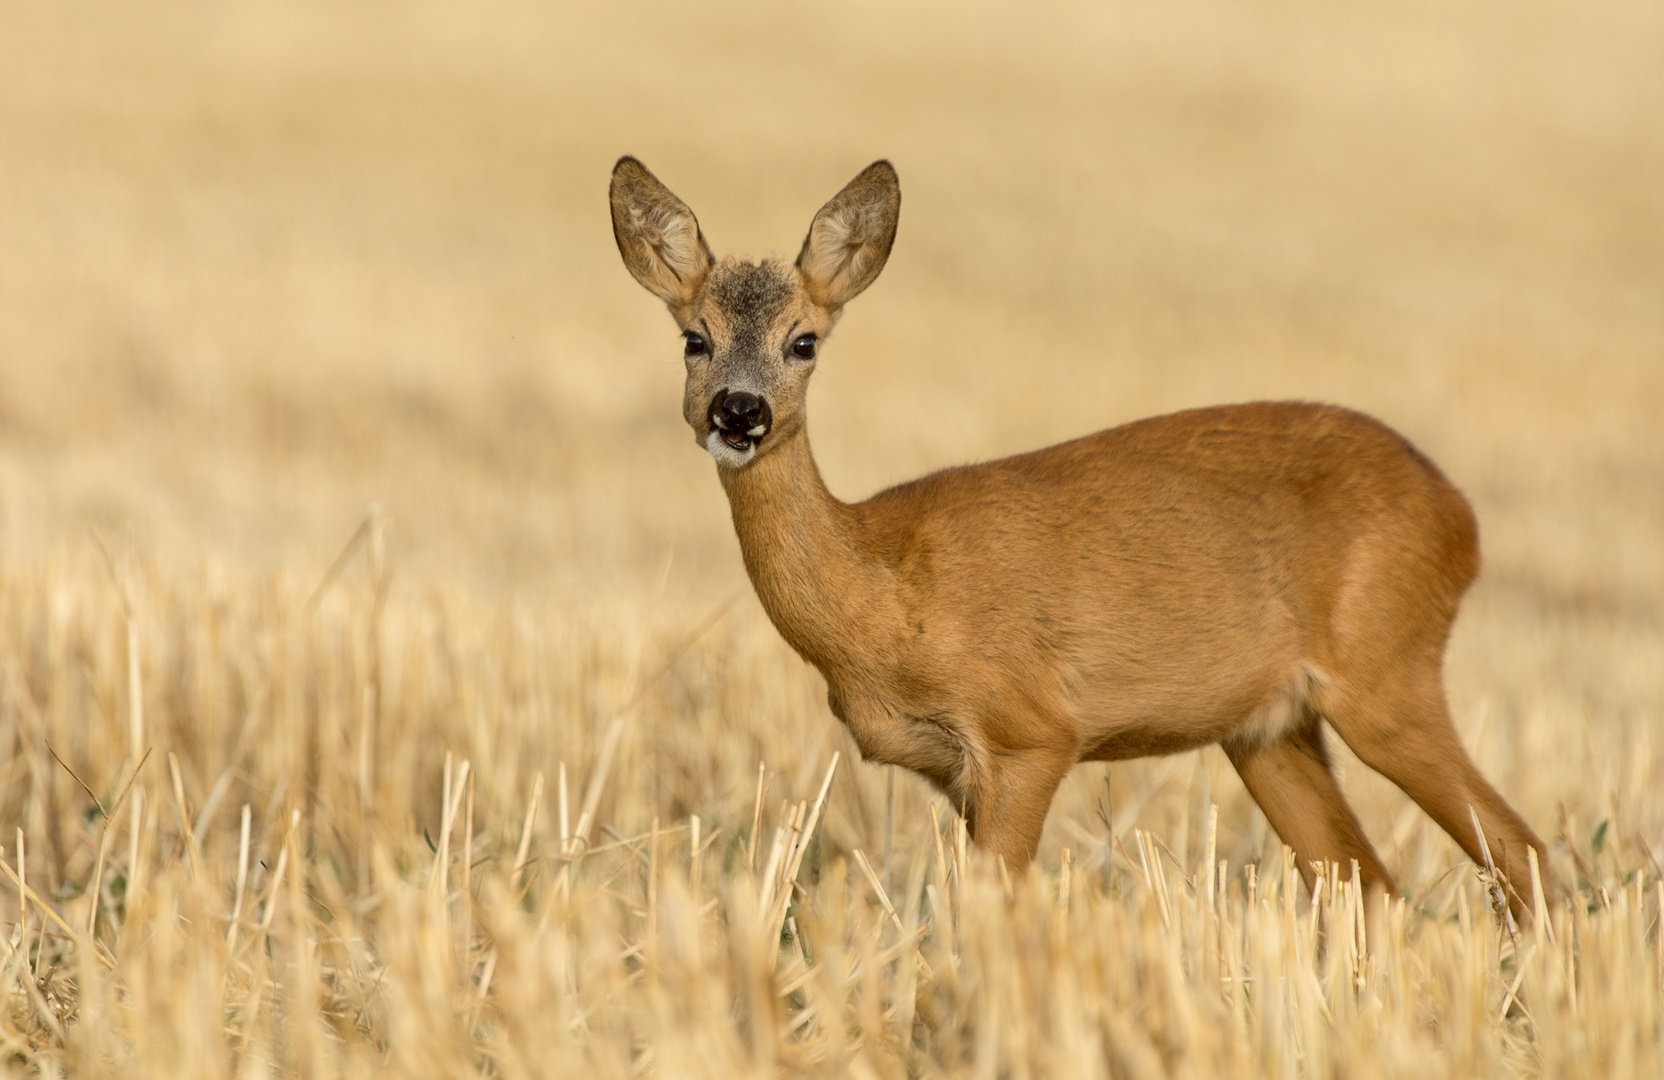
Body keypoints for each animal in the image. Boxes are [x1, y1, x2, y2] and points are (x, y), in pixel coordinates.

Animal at [609, 155, 1544, 911]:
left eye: (803, 341)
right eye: (694, 339)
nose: (740, 411)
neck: (887, 591)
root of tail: (1460, 516)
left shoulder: (1030, 731)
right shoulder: (955, 774)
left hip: (1385, 672)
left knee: (1519, 849)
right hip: (1269, 729)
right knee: (1367, 883)